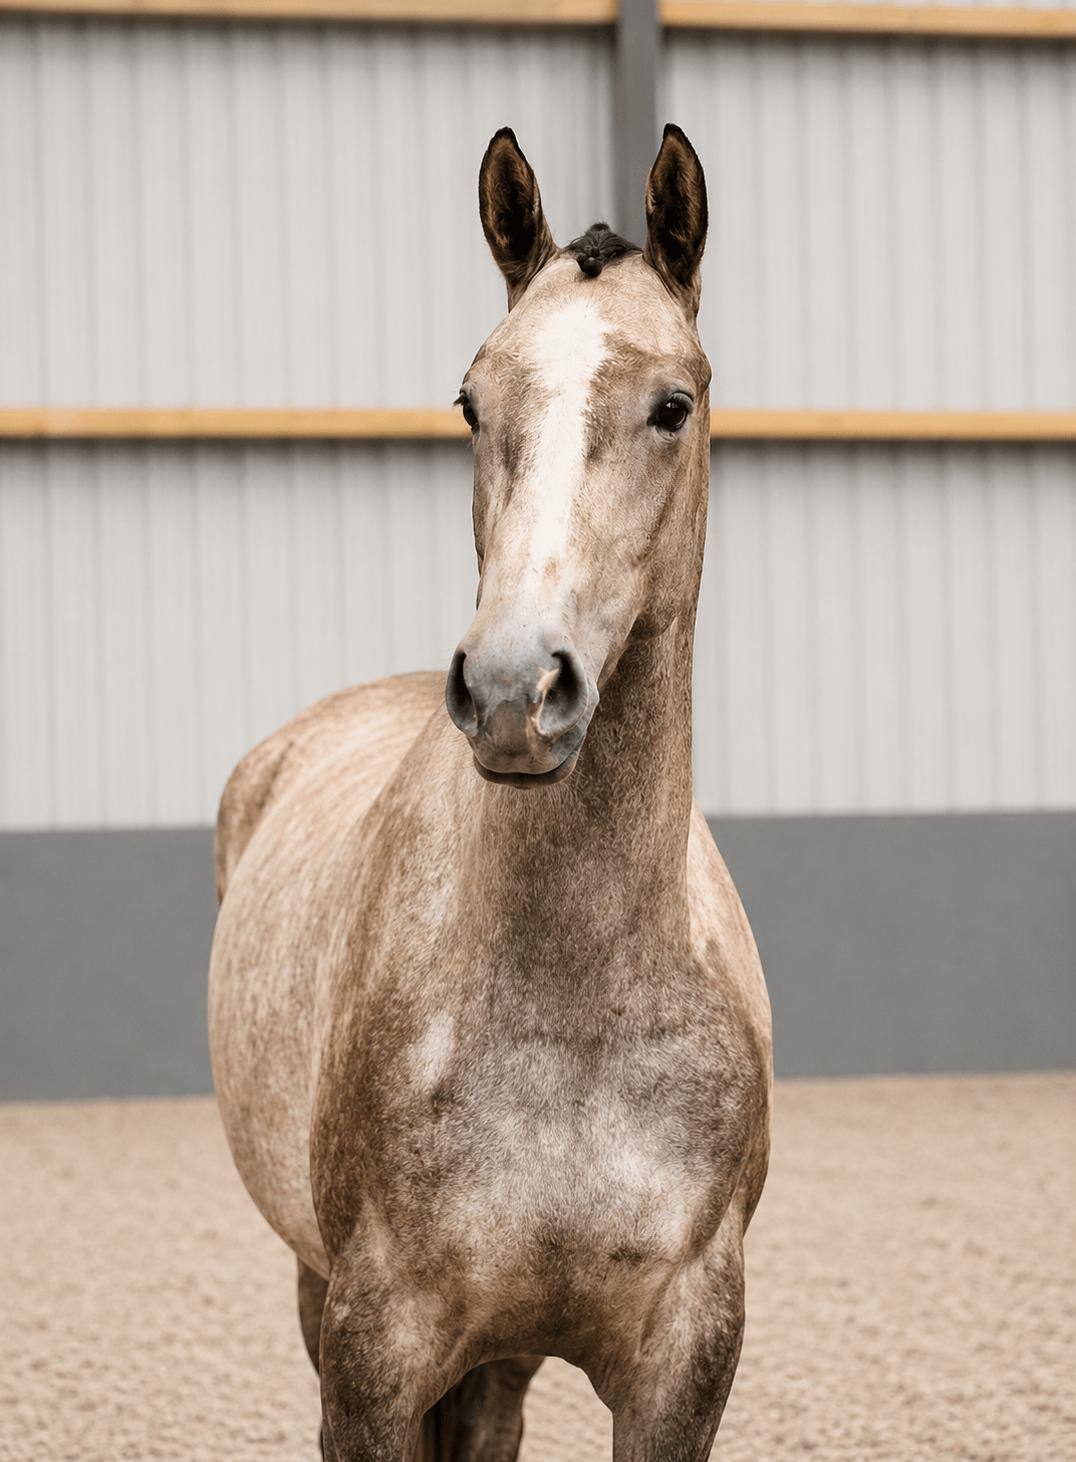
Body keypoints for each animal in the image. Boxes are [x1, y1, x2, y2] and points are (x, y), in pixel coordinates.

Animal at [209, 122, 772, 1462]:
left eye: (671, 405)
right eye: (473, 399)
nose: (517, 687)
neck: (572, 1010)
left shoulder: (682, 1360)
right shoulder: (371, 1354)